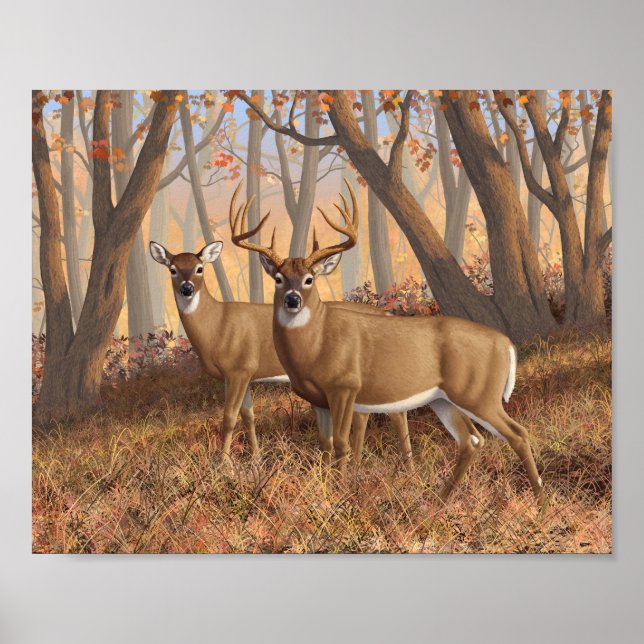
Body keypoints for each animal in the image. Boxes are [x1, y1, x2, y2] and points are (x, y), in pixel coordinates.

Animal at [149, 185, 411, 468]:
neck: (216, 325)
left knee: (396, 411)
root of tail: (386, 312)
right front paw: (255, 459)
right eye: (172, 269)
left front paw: (222, 464)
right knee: (364, 414)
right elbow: (248, 415)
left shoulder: (240, 368)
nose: (187, 288)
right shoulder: (241, 374)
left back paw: (405, 464)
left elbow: (229, 417)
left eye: (199, 268)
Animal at [230, 180, 545, 504]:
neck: (316, 345)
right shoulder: (318, 399)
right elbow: (325, 445)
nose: (293, 300)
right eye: (279, 279)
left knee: (517, 433)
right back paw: (440, 500)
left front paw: (341, 493)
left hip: (480, 394)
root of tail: (506, 344)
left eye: (309, 279)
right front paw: (326, 490)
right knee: (472, 439)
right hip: (444, 399)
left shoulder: (345, 386)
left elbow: (342, 444)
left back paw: (541, 502)